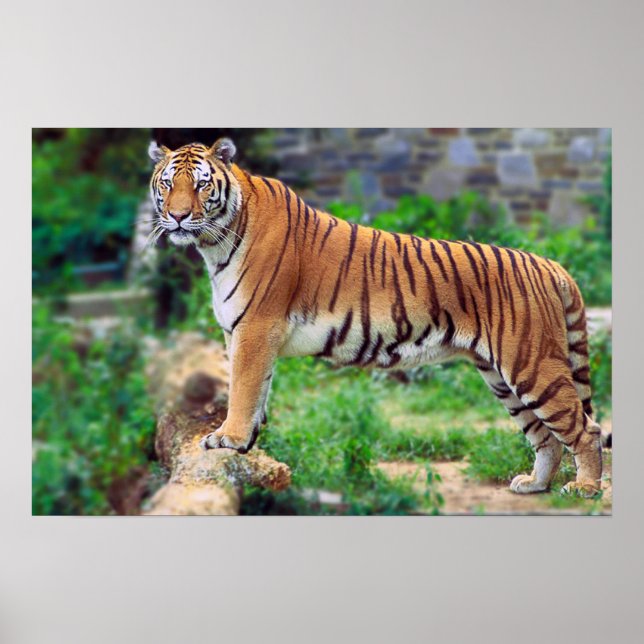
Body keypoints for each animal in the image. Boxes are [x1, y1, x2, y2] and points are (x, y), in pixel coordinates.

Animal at [148, 137, 605, 497]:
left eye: (201, 183)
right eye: (168, 183)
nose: (178, 216)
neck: (214, 245)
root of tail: (549, 264)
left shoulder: (256, 328)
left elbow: (242, 389)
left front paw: (228, 438)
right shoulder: (243, 332)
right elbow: (257, 391)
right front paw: (247, 446)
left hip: (531, 364)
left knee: (586, 429)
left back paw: (585, 488)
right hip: (500, 376)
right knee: (546, 437)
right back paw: (534, 485)